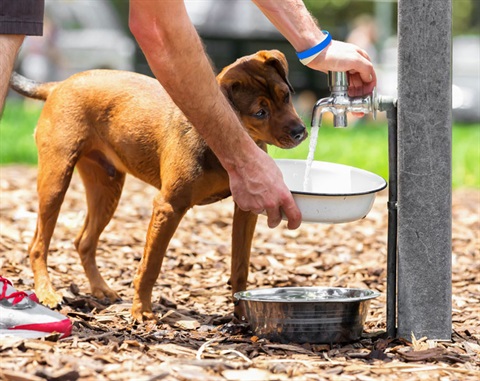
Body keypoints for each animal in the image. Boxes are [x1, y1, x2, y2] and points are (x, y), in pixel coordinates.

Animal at [10, 49, 308, 320]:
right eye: (260, 112)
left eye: (286, 95)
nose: (300, 133)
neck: (226, 143)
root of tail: (59, 85)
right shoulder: (168, 207)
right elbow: (151, 265)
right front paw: (141, 311)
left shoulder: (246, 208)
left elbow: (240, 267)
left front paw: (242, 313)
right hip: (56, 179)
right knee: (37, 245)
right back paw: (47, 293)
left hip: (106, 187)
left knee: (83, 242)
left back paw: (101, 289)